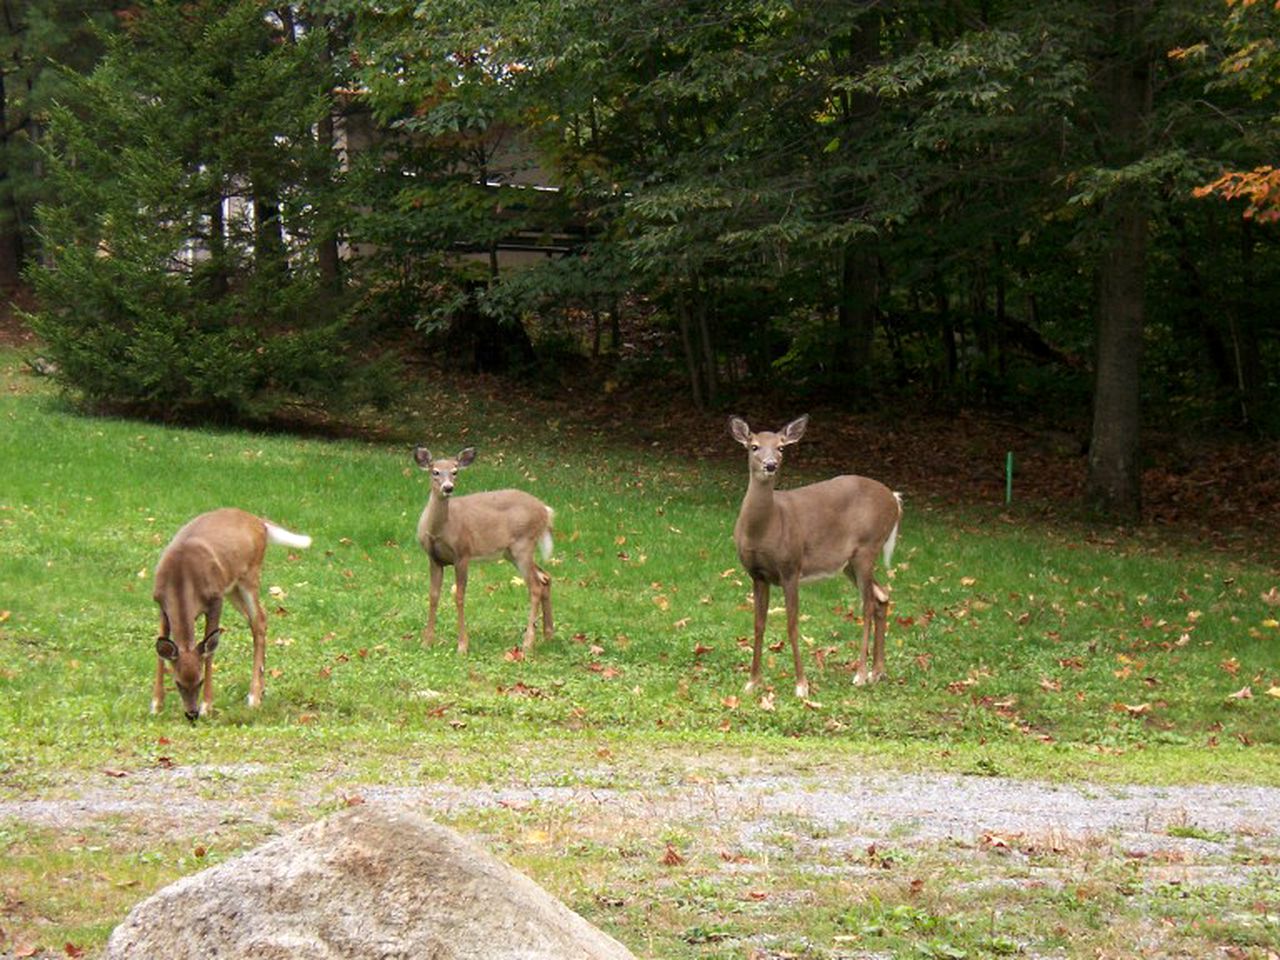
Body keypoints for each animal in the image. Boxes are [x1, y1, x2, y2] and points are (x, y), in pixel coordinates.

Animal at [148, 512, 308, 721]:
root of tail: (259, 521)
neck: (181, 579)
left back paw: (253, 697)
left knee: (259, 621)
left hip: (250, 576)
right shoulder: (161, 605)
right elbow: (160, 655)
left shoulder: (216, 599)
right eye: (177, 683)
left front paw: (207, 706)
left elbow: (209, 652)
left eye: (200, 681)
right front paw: (156, 705)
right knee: (260, 618)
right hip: (233, 589)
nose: (192, 714)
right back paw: (261, 691)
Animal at [409, 445, 550, 655]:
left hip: (523, 544)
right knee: (545, 577)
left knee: (535, 586)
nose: (448, 487)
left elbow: (459, 596)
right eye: (435, 472)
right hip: (511, 552)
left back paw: (528, 643)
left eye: (455, 471)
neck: (439, 530)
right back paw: (549, 635)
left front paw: (462, 645)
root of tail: (546, 510)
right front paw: (426, 642)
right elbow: (433, 595)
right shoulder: (434, 558)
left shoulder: (463, 554)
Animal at [732, 414, 901, 701]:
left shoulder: (791, 567)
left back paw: (860, 674)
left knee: (867, 605)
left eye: (781, 447)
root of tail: (895, 499)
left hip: (868, 547)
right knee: (882, 595)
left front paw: (801, 685)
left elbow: (792, 624)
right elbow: (758, 624)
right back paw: (878, 671)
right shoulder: (757, 574)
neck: (765, 527)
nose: (770, 465)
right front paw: (752, 682)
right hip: (848, 562)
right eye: (754, 446)